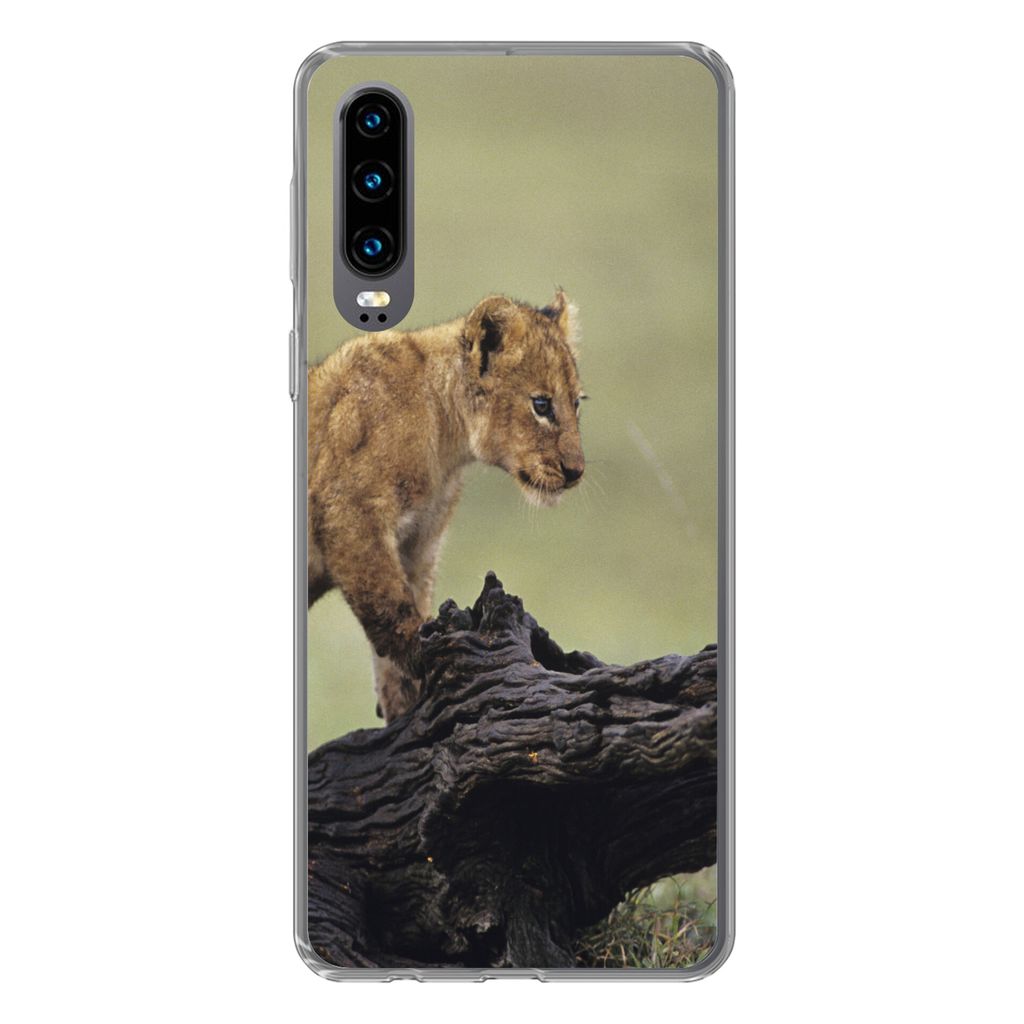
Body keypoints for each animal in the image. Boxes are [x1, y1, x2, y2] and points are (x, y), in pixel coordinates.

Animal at [307, 291, 585, 721]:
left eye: (577, 403)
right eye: (541, 405)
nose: (576, 472)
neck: (446, 437)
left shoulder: (418, 543)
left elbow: (402, 620)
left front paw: (404, 704)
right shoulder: (349, 514)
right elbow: (391, 610)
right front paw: (427, 659)